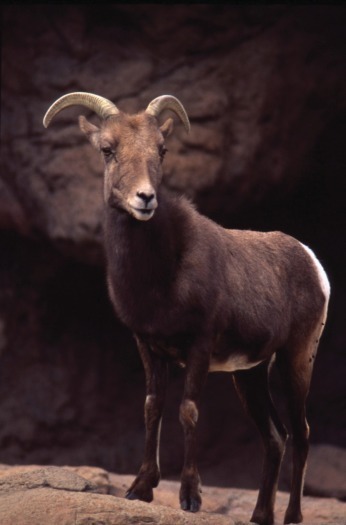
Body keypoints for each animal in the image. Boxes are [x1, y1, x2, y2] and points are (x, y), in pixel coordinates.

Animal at [43, 92, 330, 520]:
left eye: (161, 150)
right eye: (108, 150)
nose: (145, 198)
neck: (160, 276)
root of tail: (312, 262)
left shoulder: (199, 345)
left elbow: (188, 410)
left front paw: (190, 497)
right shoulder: (148, 346)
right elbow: (152, 407)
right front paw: (139, 489)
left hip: (296, 359)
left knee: (301, 433)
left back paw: (292, 517)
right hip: (250, 374)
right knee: (275, 438)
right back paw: (258, 516)